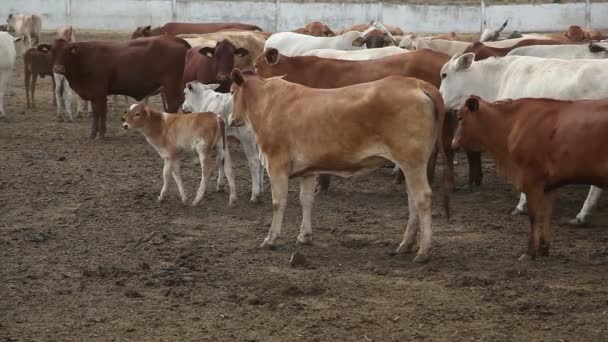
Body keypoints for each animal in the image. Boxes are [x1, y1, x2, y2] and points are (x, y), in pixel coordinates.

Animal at [40, 35, 190, 139]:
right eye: (52, 51)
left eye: (67, 51)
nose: (58, 69)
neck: (84, 58)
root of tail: (175, 39)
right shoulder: (93, 93)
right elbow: (96, 113)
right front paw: (93, 133)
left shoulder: (100, 92)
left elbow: (101, 111)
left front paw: (101, 134)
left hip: (172, 84)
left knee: (173, 105)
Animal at [228, 69, 452, 262]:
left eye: (231, 91)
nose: (231, 118)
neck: (266, 104)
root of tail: (416, 83)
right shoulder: (308, 170)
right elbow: (306, 200)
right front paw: (304, 236)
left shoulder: (276, 163)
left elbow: (278, 202)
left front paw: (271, 238)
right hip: (409, 164)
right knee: (412, 199)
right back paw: (405, 245)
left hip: (413, 161)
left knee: (422, 197)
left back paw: (423, 251)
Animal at [454, 95, 608, 260]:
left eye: (460, 117)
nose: (453, 143)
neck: (512, 125)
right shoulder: (550, 184)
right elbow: (546, 214)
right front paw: (543, 248)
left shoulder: (532, 180)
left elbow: (534, 215)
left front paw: (530, 252)